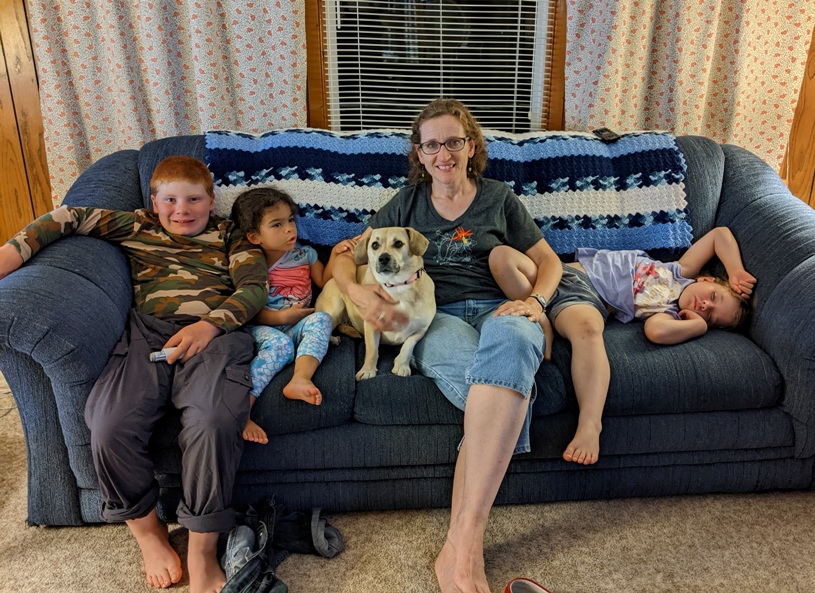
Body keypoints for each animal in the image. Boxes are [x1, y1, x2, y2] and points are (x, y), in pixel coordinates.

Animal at [316, 224, 436, 382]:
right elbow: (372, 351)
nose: (383, 258)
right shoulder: (371, 326)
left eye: (398, 243)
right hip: (335, 307)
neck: (397, 286)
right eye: (374, 245)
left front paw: (402, 365)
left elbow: (408, 346)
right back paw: (332, 339)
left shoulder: (421, 330)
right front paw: (368, 371)